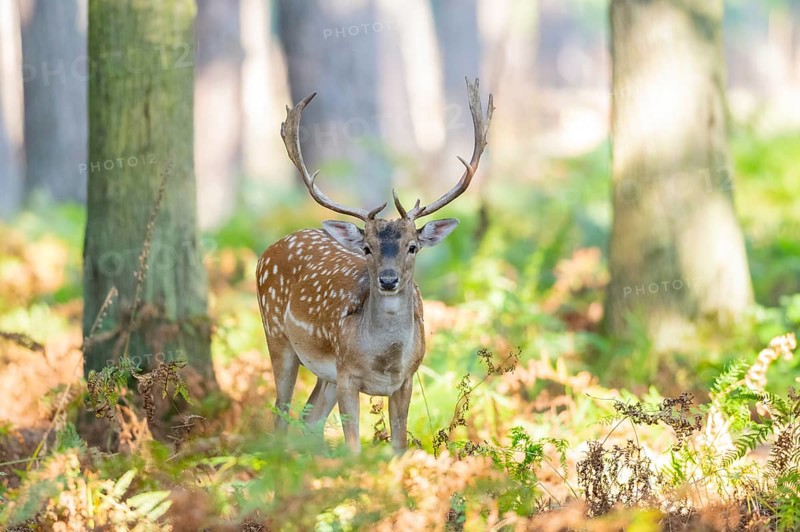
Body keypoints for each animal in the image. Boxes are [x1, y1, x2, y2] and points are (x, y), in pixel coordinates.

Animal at [256, 78, 493, 453]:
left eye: (413, 246)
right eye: (367, 247)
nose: (388, 280)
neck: (384, 361)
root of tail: (272, 247)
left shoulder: (407, 378)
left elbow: (399, 445)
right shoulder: (346, 374)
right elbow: (353, 447)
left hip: (323, 373)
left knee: (310, 419)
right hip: (277, 335)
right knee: (281, 414)